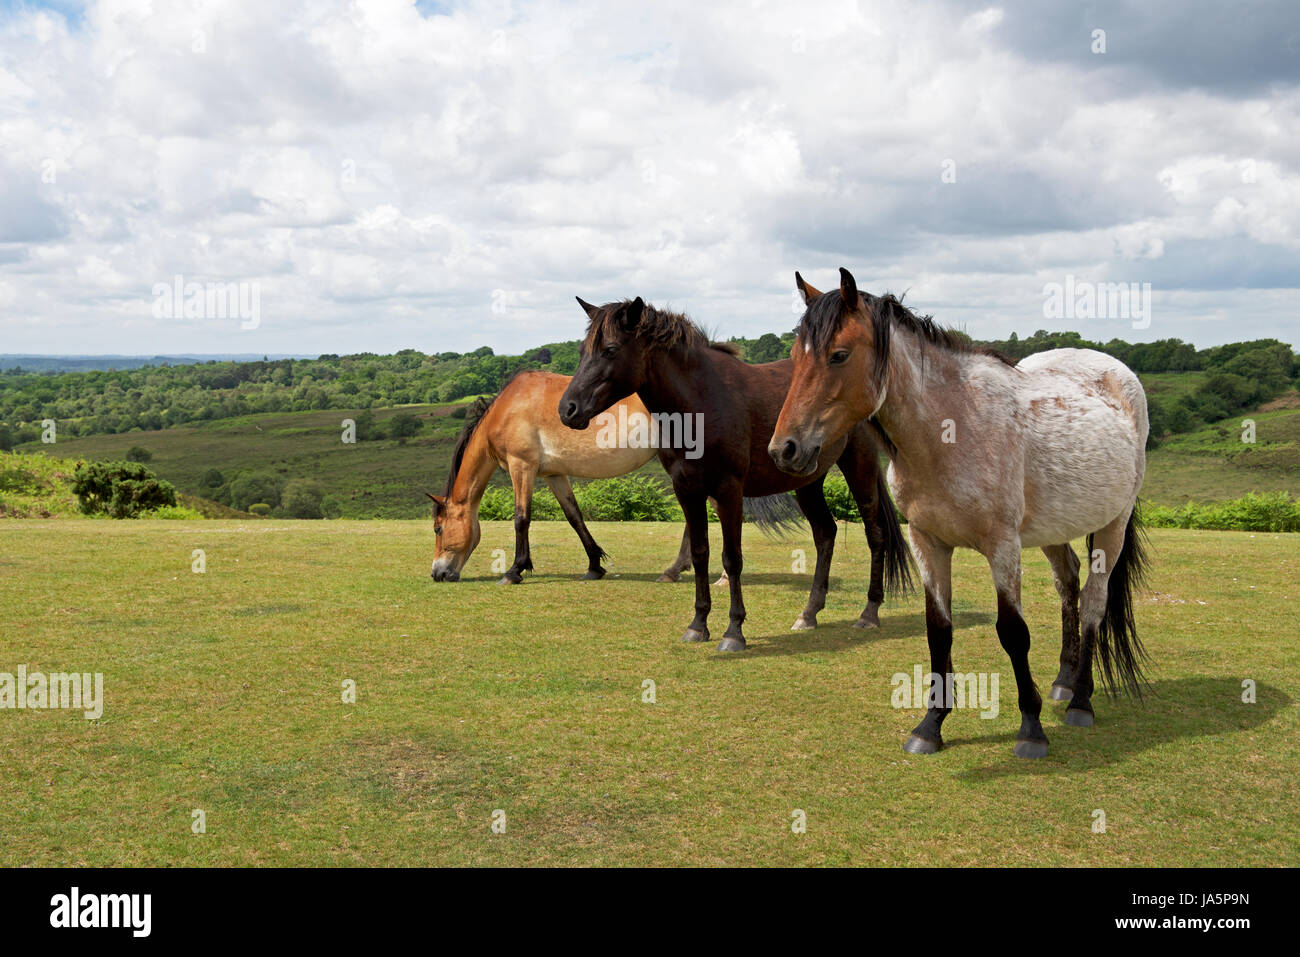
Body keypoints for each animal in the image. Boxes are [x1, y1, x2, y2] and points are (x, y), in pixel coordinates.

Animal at [559, 297, 915, 650]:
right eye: (581, 351)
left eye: (611, 349)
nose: (567, 409)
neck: (701, 402)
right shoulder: (687, 489)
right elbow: (700, 553)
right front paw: (698, 625)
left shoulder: (729, 489)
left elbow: (732, 558)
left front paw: (734, 631)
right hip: (807, 480)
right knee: (825, 533)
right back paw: (809, 613)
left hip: (860, 466)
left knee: (875, 534)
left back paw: (869, 612)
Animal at [769, 267, 1149, 754]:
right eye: (795, 357)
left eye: (839, 355)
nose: (784, 449)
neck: (951, 428)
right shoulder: (927, 542)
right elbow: (939, 629)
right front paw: (930, 725)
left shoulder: (1003, 546)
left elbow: (1013, 632)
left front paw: (1031, 729)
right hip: (1055, 528)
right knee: (1069, 584)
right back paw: (1063, 681)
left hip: (1112, 526)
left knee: (1093, 604)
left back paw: (1080, 701)